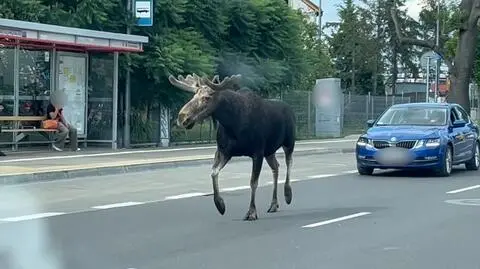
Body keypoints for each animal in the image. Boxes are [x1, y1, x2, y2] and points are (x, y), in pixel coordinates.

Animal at [169, 73, 296, 220]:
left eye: (206, 97)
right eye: (193, 96)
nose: (182, 117)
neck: (232, 124)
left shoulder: (257, 152)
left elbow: (253, 182)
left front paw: (251, 212)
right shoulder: (224, 151)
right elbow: (213, 172)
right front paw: (220, 205)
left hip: (288, 142)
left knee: (289, 162)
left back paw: (288, 194)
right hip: (269, 151)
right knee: (276, 166)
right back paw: (274, 204)